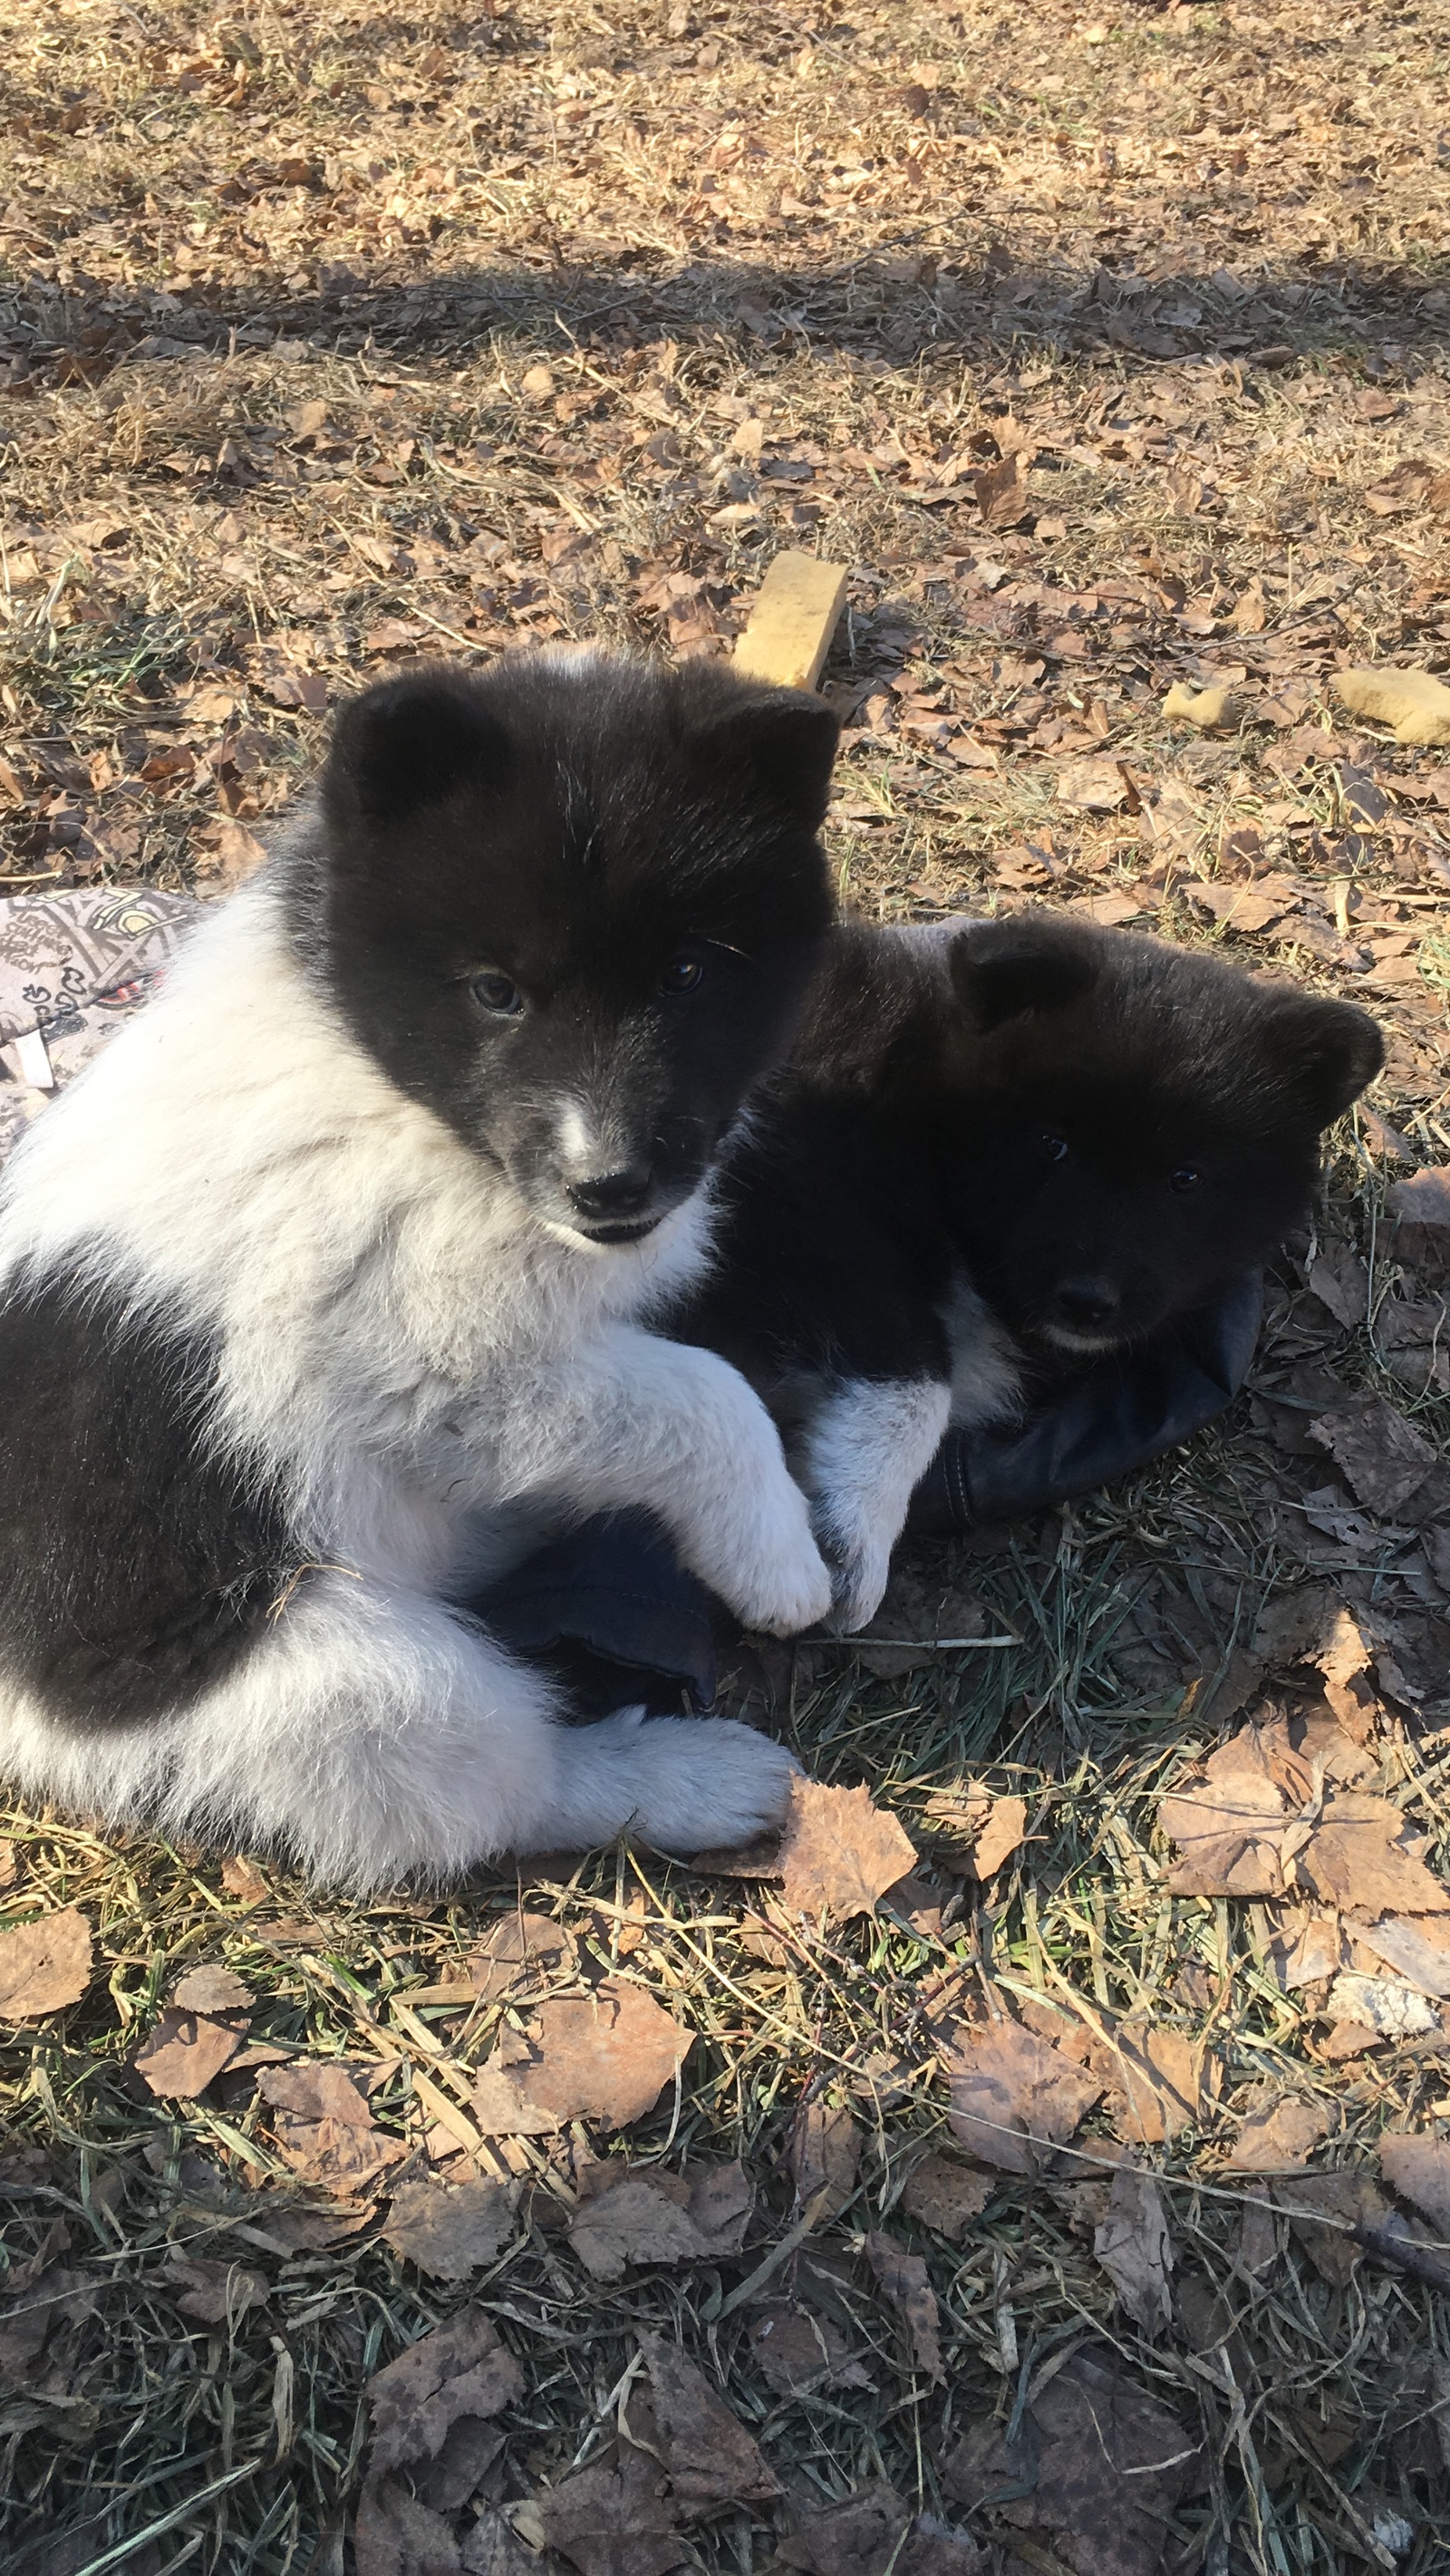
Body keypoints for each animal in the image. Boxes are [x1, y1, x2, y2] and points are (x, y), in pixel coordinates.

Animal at [0, 654, 839, 1885]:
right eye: (495, 991)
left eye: (688, 974)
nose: (612, 1188)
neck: (393, 1090)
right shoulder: (434, 1369)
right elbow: (700, 1394)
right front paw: (778, 1557)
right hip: (341, 1675)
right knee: (502, 1780)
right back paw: (682, 1778)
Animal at [674, 916, 1390, 1617]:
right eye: (1051, 1144)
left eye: (1186, 1179)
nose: (1086, 1300)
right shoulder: (790, 1183)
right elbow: (916, 1363)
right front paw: (849, 1526)